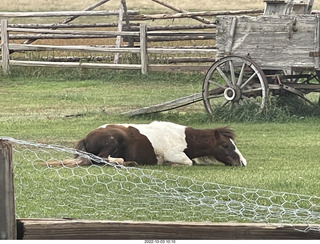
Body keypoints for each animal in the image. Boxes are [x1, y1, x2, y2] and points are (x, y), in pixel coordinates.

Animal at [74, 121, 246, 167]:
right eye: (225, 145)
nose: (242, 162)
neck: (185, 138)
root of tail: (86, 137)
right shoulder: (174, 154)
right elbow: (189, 162)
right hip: (112, 141)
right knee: (102, 159)